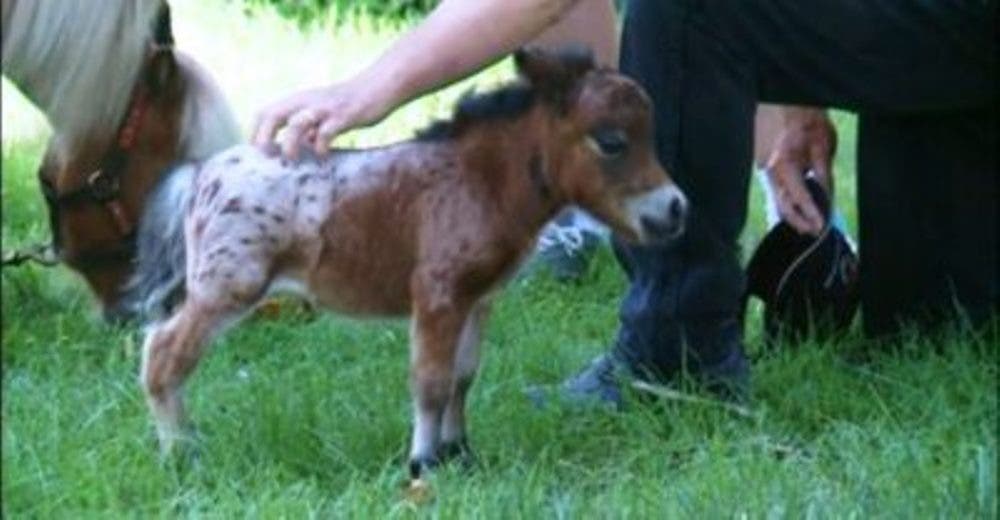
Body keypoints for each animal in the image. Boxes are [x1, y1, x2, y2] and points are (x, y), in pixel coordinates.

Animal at [125, 48, 688, 480]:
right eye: (611, 141)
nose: (674, 209)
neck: (476, 181)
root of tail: (201, 174)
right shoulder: (437, 296)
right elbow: (430, 382)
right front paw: (423, 464)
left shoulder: (477, 299)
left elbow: (462, 376)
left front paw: (461, 455)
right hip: (227, 286)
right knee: (162, 354)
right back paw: (181, 455)